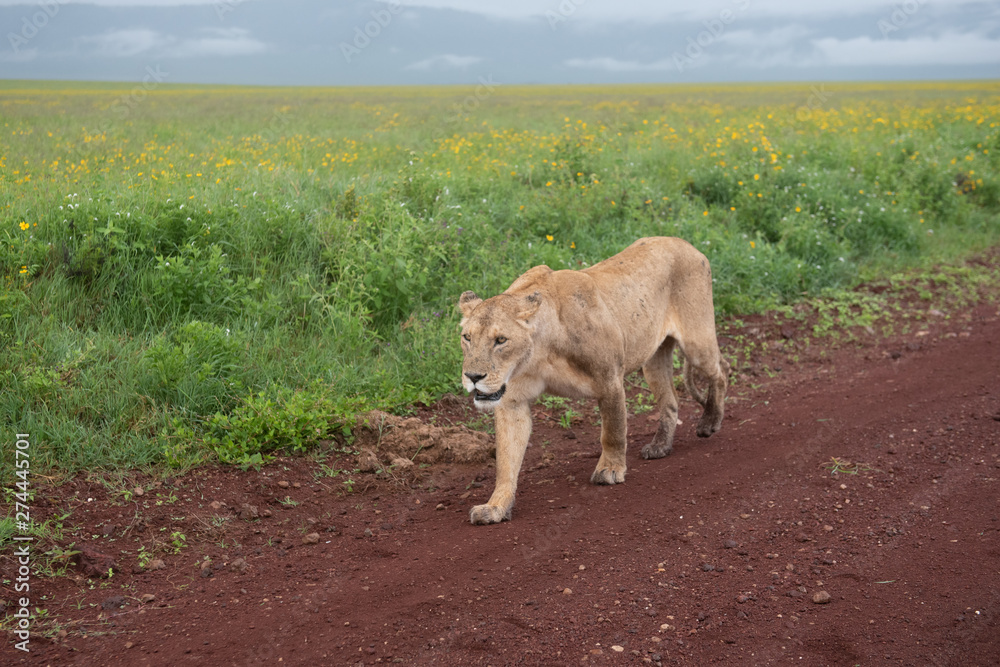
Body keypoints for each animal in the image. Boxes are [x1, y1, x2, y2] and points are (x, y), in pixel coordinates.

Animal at [458, 236, 728, 525]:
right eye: (467, 337)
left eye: (501, 340)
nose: (473, 377)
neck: (541, 350)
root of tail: (683, 241)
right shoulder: (512, 401)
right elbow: (506, 461)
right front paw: (496, 506)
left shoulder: (609, 379)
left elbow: (613, 431)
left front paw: (610, 470)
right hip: (653, 360)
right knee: (670, 401)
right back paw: (660, 446)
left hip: (697, 343)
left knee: (721, 368)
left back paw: (710, 422)